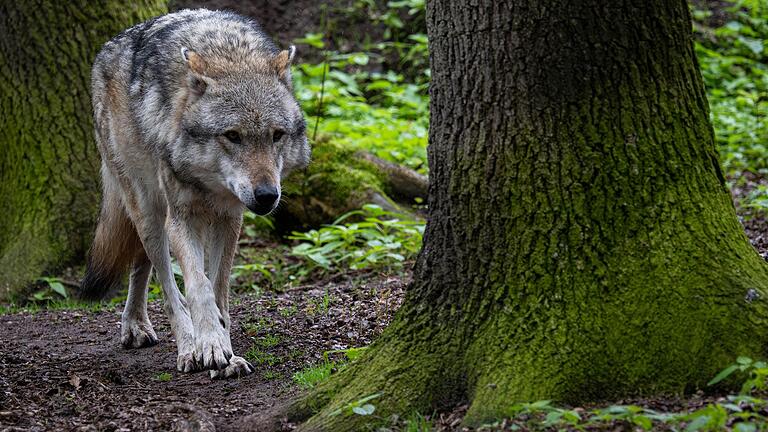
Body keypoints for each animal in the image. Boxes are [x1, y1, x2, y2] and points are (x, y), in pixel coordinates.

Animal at [81, 9, 312, 378]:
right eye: (232, 135)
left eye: (277, 135)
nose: (266, 195)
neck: (228, 54)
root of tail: (107, 48)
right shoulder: (182, 218)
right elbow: (198, 287)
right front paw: (210, 346)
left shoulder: (229, 219)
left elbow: (218, 289)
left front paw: (226, 350)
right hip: (149, 212)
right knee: (166, 283)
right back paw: (186, 347)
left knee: (141, 265)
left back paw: (137, 324)